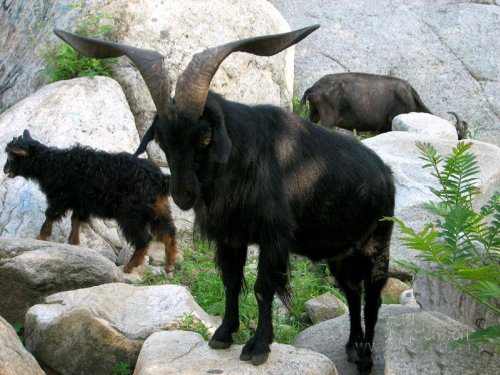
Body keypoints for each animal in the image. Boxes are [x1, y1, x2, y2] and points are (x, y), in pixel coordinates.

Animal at [2, 131, 179, 276]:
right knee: (169, 233)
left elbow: (50, 216)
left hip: (131, 213)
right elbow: (76, 221)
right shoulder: (81, 204)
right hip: (158, 209)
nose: (4, 170)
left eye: (12, 156)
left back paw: (130, 266)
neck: (53, 164)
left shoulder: (60, 198)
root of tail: (159, 179)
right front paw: (73, 243)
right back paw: (169, 265)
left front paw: (41, 237)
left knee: (143, 239)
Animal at [55, 25, 394, 374]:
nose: (183, 194)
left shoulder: (274, 238)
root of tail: (385, 174)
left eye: (205, 137)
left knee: (373, 296)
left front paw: (259, 347)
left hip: (377, 243)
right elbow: (231, 282)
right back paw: (353, 348)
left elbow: (262, 289)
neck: (243, 162)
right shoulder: (231, 237)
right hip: (340, 253)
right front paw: (223, 335)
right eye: (161, 140)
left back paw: (366, 357)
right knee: (352, 293)